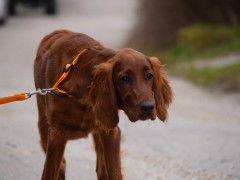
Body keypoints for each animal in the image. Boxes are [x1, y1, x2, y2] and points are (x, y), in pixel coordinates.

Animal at [33, 29, 172, 180]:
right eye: (124, 78)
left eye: (150, 76)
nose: (148, 107)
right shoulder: (56, 135)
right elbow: (50, 173)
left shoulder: (110, 131)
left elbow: (114, 173)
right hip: (44, 128)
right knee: (62, 165)